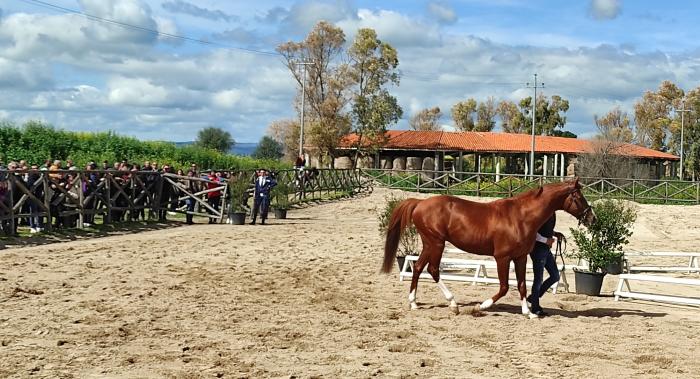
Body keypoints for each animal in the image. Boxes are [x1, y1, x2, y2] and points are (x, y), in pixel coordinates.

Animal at [382, 180, 596, 316]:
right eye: (578, 196)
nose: (592, 218)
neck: (522, 217)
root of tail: (420, 203)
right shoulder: (502, 257)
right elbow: (504, 287)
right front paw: (481, 306)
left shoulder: (520, 257)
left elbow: (522, 285)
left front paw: (528, 312)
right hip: (436, 243)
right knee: (432, 270)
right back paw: (453, 304)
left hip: (429, 244)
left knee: (418, 268)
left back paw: (414, 303)